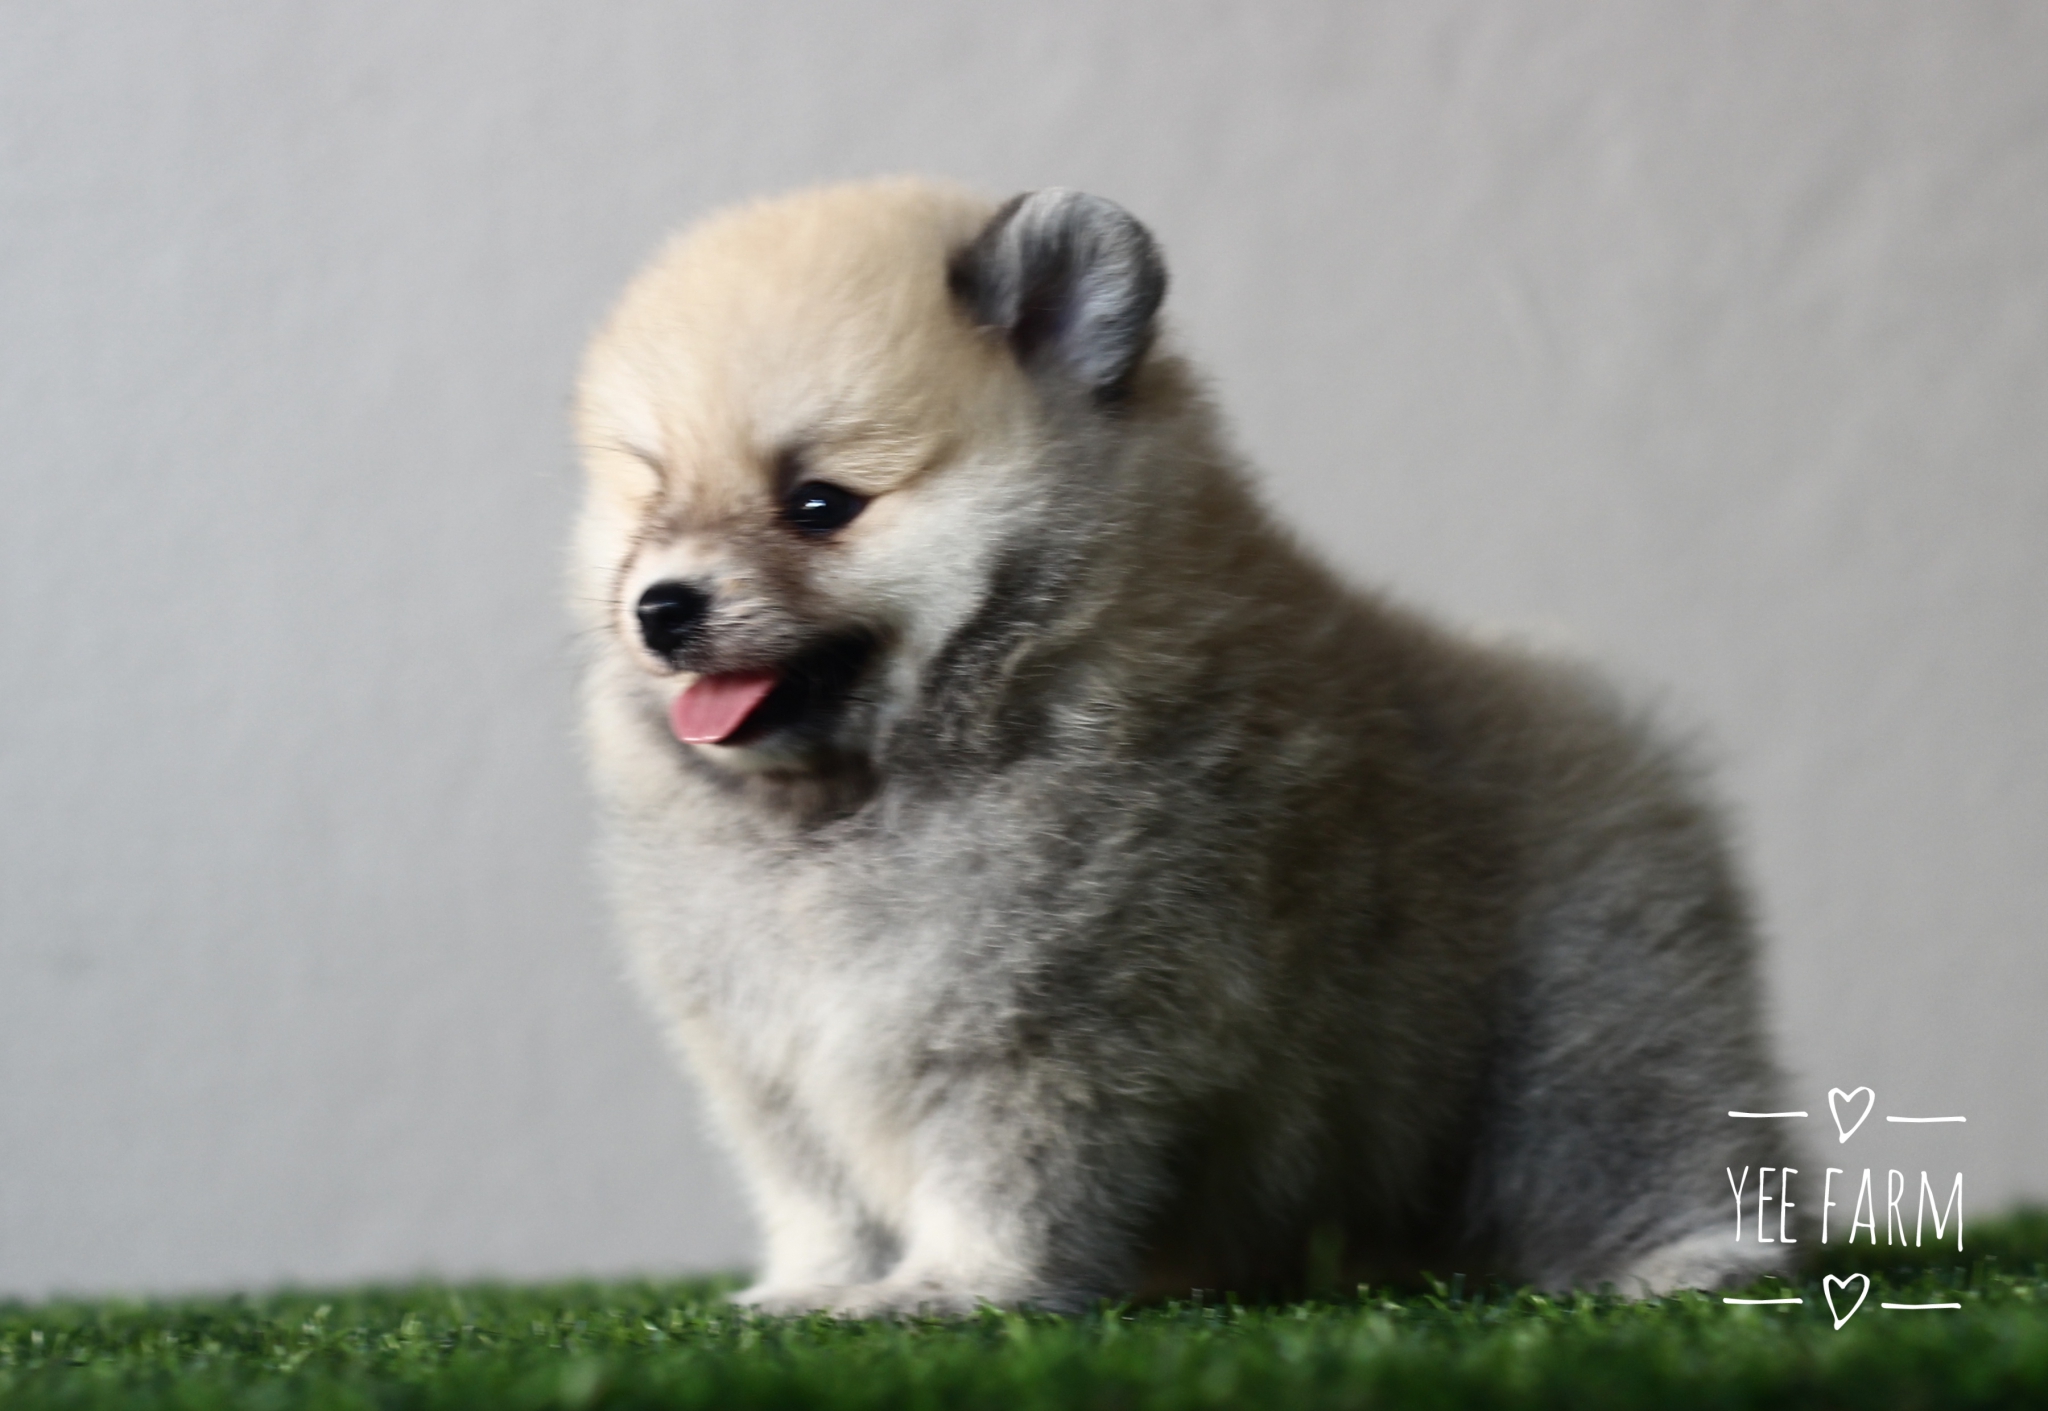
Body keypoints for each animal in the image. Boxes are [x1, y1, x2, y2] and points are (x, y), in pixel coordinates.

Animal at [570, 178, 1795, 1314]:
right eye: (647, 503)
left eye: (820, 503)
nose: (662, 606)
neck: (853, 799)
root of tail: (1599, 713)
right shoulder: (767, 1053)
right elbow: (820, 1193)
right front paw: (813, 1290)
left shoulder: (1040, 1026)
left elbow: (998, 1177)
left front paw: (958, 1289)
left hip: (1598, 1009)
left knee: (1652, 1128)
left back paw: (1697, 1257)